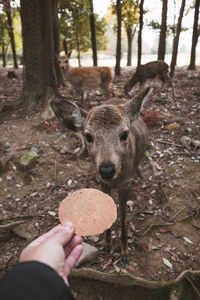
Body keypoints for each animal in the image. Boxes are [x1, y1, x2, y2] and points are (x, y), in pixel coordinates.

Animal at [50, 88, 151, 262]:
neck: (116, 180)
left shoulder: (126, 183)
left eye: (124, 134)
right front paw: (108, 245)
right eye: (88, 136)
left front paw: (125, 252)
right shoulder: (102, 182)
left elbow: (123, 214)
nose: (107, 169)